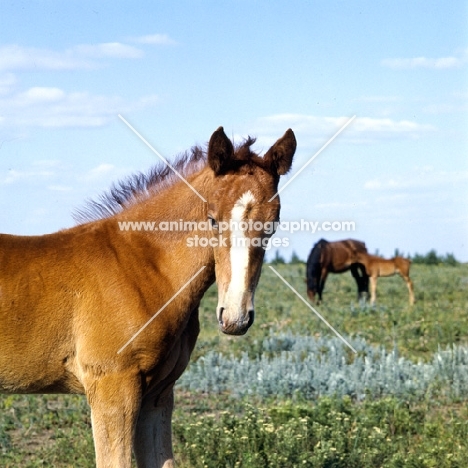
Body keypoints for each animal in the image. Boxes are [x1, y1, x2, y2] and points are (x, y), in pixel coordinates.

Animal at [0, 126, 296, 466]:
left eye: (273, 224)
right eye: (212, 218)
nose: (235, 317)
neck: (142, 266)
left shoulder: (158, 395)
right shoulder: (112, 389)